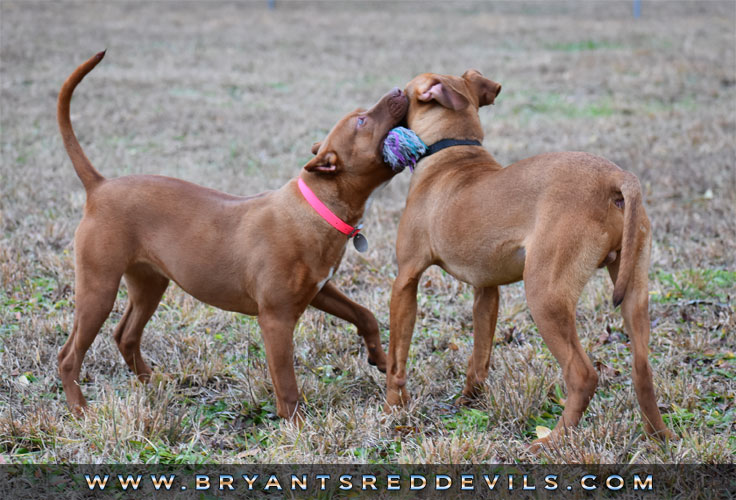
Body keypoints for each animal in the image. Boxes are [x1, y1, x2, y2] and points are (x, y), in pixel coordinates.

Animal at [57, 50, 408, 420]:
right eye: (361, 122)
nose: (400, 89)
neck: (317, 206)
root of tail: (99, 186)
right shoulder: (275, 319)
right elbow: (287, 385)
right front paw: (297, 426)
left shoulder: (320, 289)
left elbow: (365, 315)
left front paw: (381, 358)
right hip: (98, 288)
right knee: (69, 355)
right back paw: (80, 409)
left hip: (149, 283)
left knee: (125, 335)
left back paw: (153, 384)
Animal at [386, 69, 672, 450]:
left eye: (404, 92)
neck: (452, 153)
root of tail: (615, 177)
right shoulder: (486, 291)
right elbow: (480, 354)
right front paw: (469, 400)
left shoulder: (406, 280)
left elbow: (396, 356)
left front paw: (392, 407)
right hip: (634, 291)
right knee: (642, 369)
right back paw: (660, 435)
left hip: (545, 296)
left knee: (583, 374)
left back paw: (553, 440)